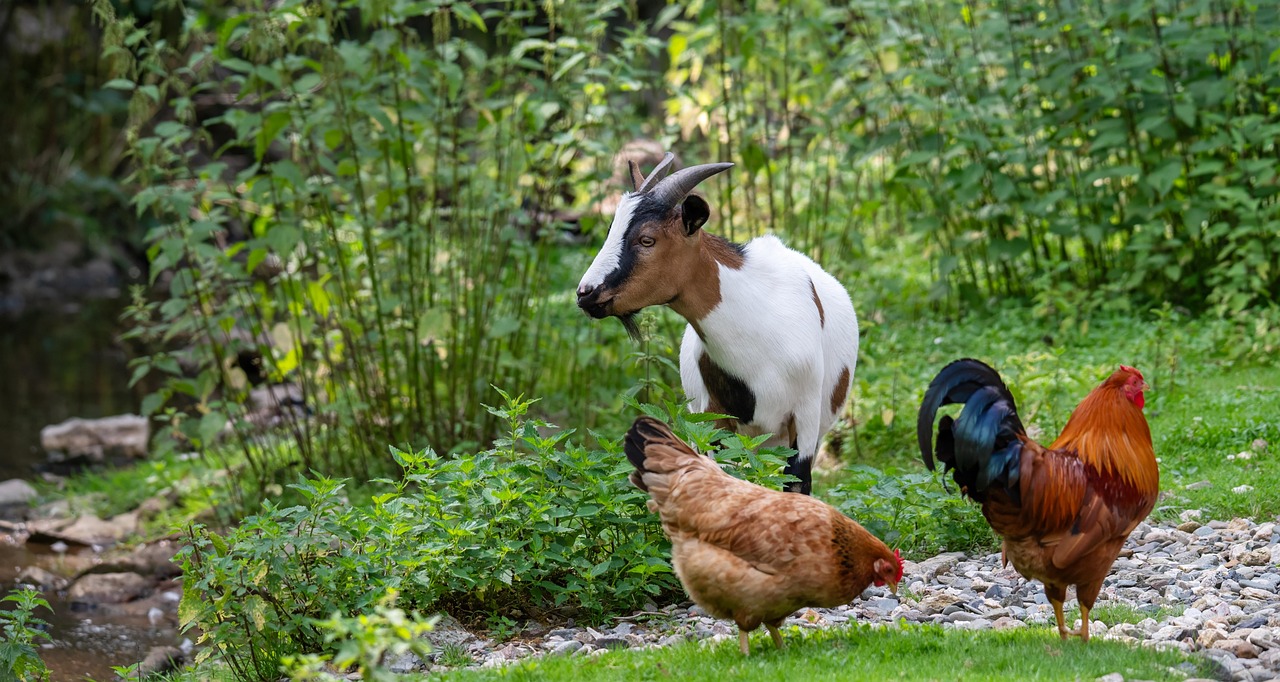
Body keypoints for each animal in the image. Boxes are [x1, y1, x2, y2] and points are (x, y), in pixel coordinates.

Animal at [576, 153, 858, 495]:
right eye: (611, 231)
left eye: (647, 239)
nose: (586, 293)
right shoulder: (712, 418)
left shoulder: (804, 419)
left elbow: (797, 484)